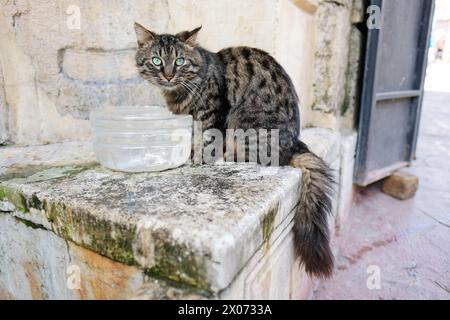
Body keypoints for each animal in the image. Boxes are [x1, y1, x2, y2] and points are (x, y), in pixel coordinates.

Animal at [134, 23, 334, 278]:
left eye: (179, 61)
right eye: (157, 61)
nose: (168, 75)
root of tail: (294, 143)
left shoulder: (213, 115)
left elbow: (206, 142)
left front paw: (198, 159)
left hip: (243, 121)